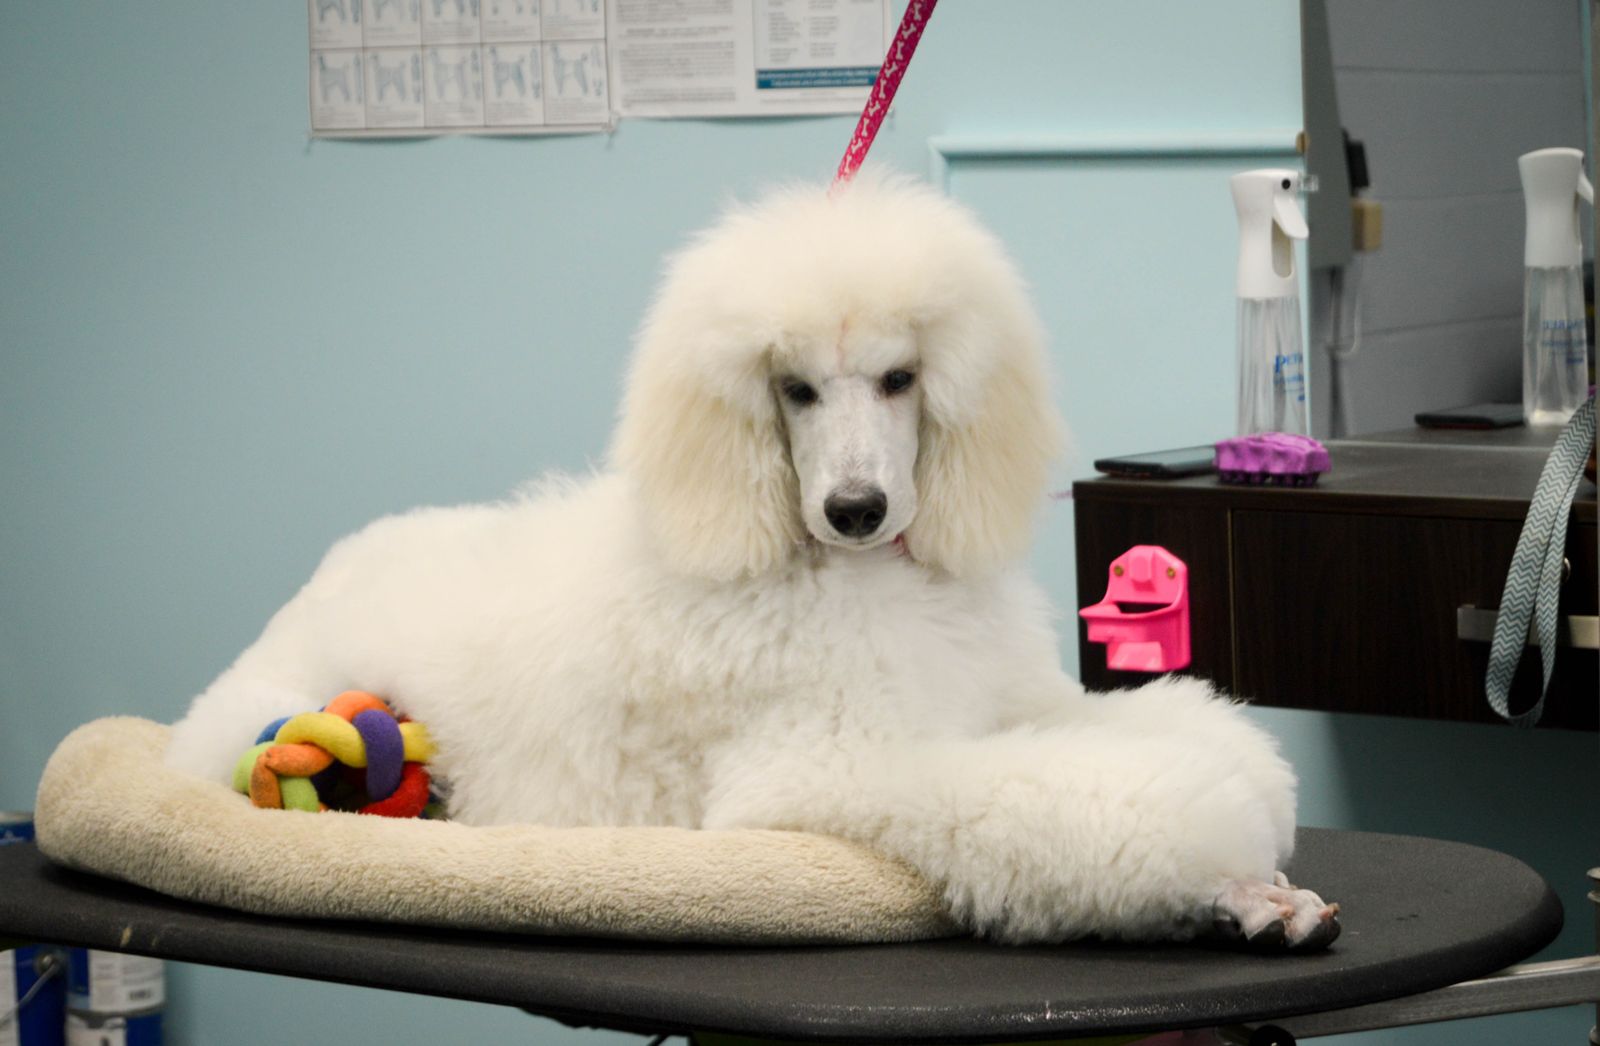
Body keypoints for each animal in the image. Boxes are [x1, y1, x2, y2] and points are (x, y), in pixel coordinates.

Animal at [166, 173, 1339, 949]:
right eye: (795, 389)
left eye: (901, 377)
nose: (855, 509)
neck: (855, 576)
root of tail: (340, 558)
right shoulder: (835, 766)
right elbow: (1127, 798)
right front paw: (1232, 870)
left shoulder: (1012, 703)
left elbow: (1184, 736)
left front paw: (1258, 855)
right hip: (258, 717)